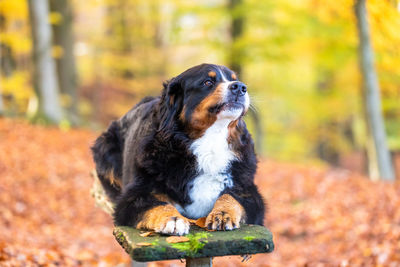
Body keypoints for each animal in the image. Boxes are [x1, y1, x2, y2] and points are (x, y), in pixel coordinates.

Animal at [91, 63, 266, 237]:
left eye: (234, 79)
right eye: (208, 82)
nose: (240, 87)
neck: (210, 142)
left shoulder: (248, 191)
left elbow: (231, 196)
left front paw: (223, 213)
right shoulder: (134, 196)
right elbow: (157, 203)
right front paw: (173, 219)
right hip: (105, 146)